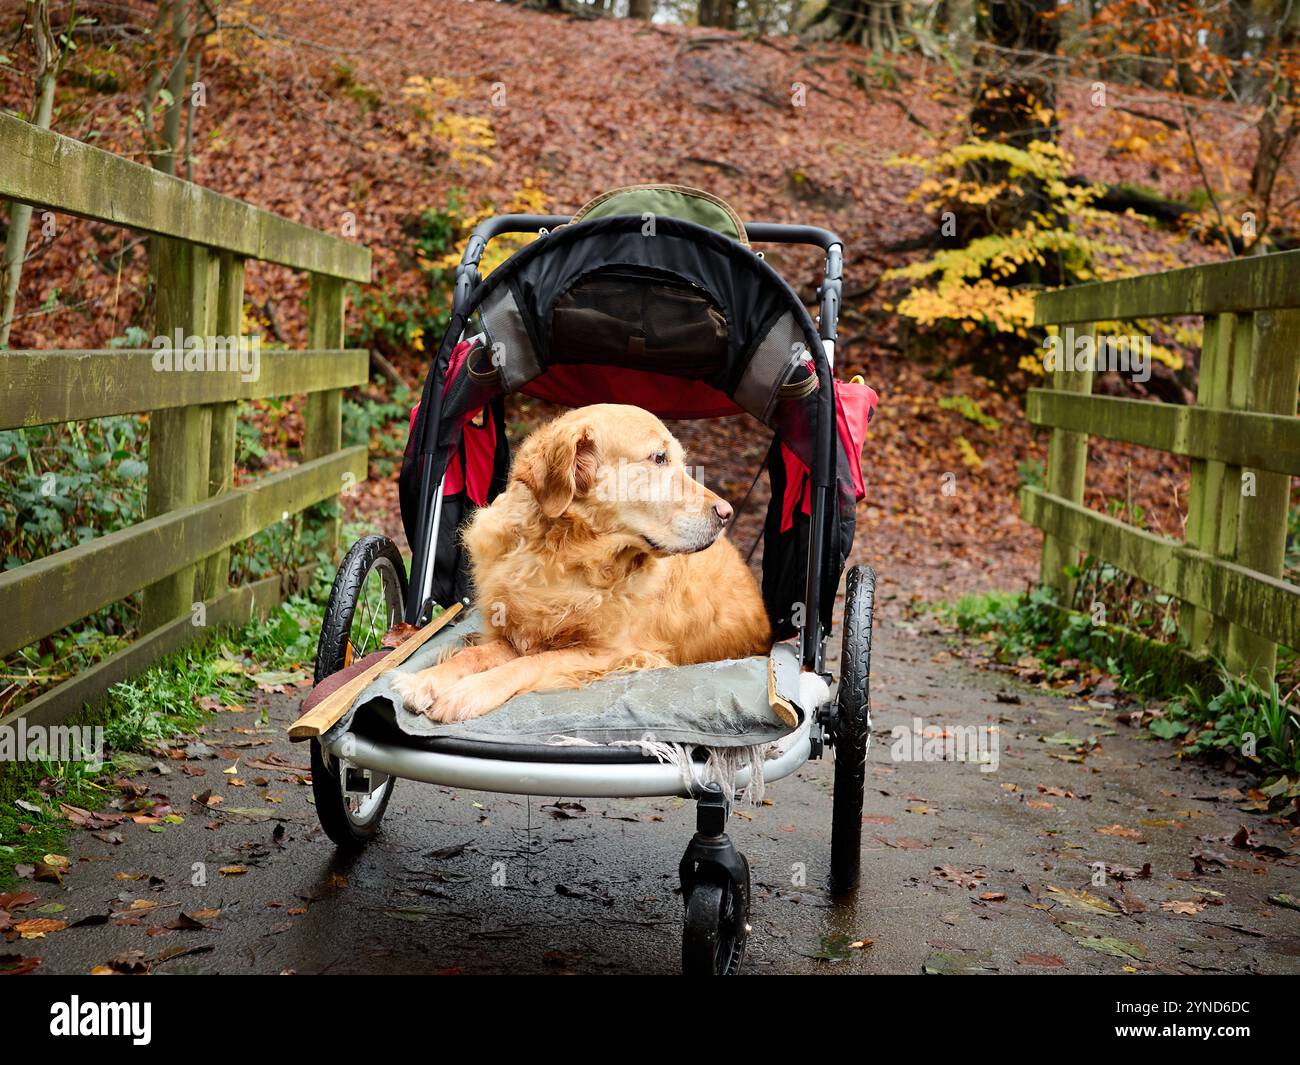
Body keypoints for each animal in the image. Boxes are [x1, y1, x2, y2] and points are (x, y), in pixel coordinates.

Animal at [390, 403, 764, 723]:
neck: (566, 554)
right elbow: (476, 654)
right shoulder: (518, 634)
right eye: (659, 458)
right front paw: (426, 679)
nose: (726, 513)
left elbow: (530, 664)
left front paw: (467, 693)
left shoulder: (610, 652)